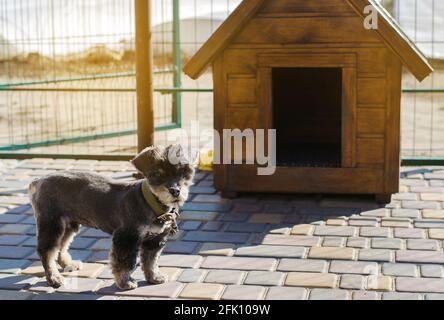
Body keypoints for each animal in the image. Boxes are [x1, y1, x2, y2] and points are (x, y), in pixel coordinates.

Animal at [28, 145, 194, 290]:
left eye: (184, 173)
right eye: (158, 173)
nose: (175, 191)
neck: (150, 203)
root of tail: (38, 181)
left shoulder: (155, 240)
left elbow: (150, 261)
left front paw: (154, 277)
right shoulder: (126, 237)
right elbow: (125, 263)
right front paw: (125, 282)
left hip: (69, 225)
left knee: (61, 246)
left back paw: (68, 264)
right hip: (51, 224)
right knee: (47, 251)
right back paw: (54, 278)